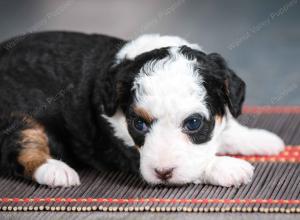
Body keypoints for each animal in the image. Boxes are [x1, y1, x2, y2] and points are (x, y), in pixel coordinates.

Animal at [0, 31, 284, 187]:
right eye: (139, 124)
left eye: (193, 123)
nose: (163, 173)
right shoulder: (119, 145)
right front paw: (227, 167)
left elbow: (226, 129)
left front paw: (261, 139)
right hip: (17, 115)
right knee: (20, 148)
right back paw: (56, 170)